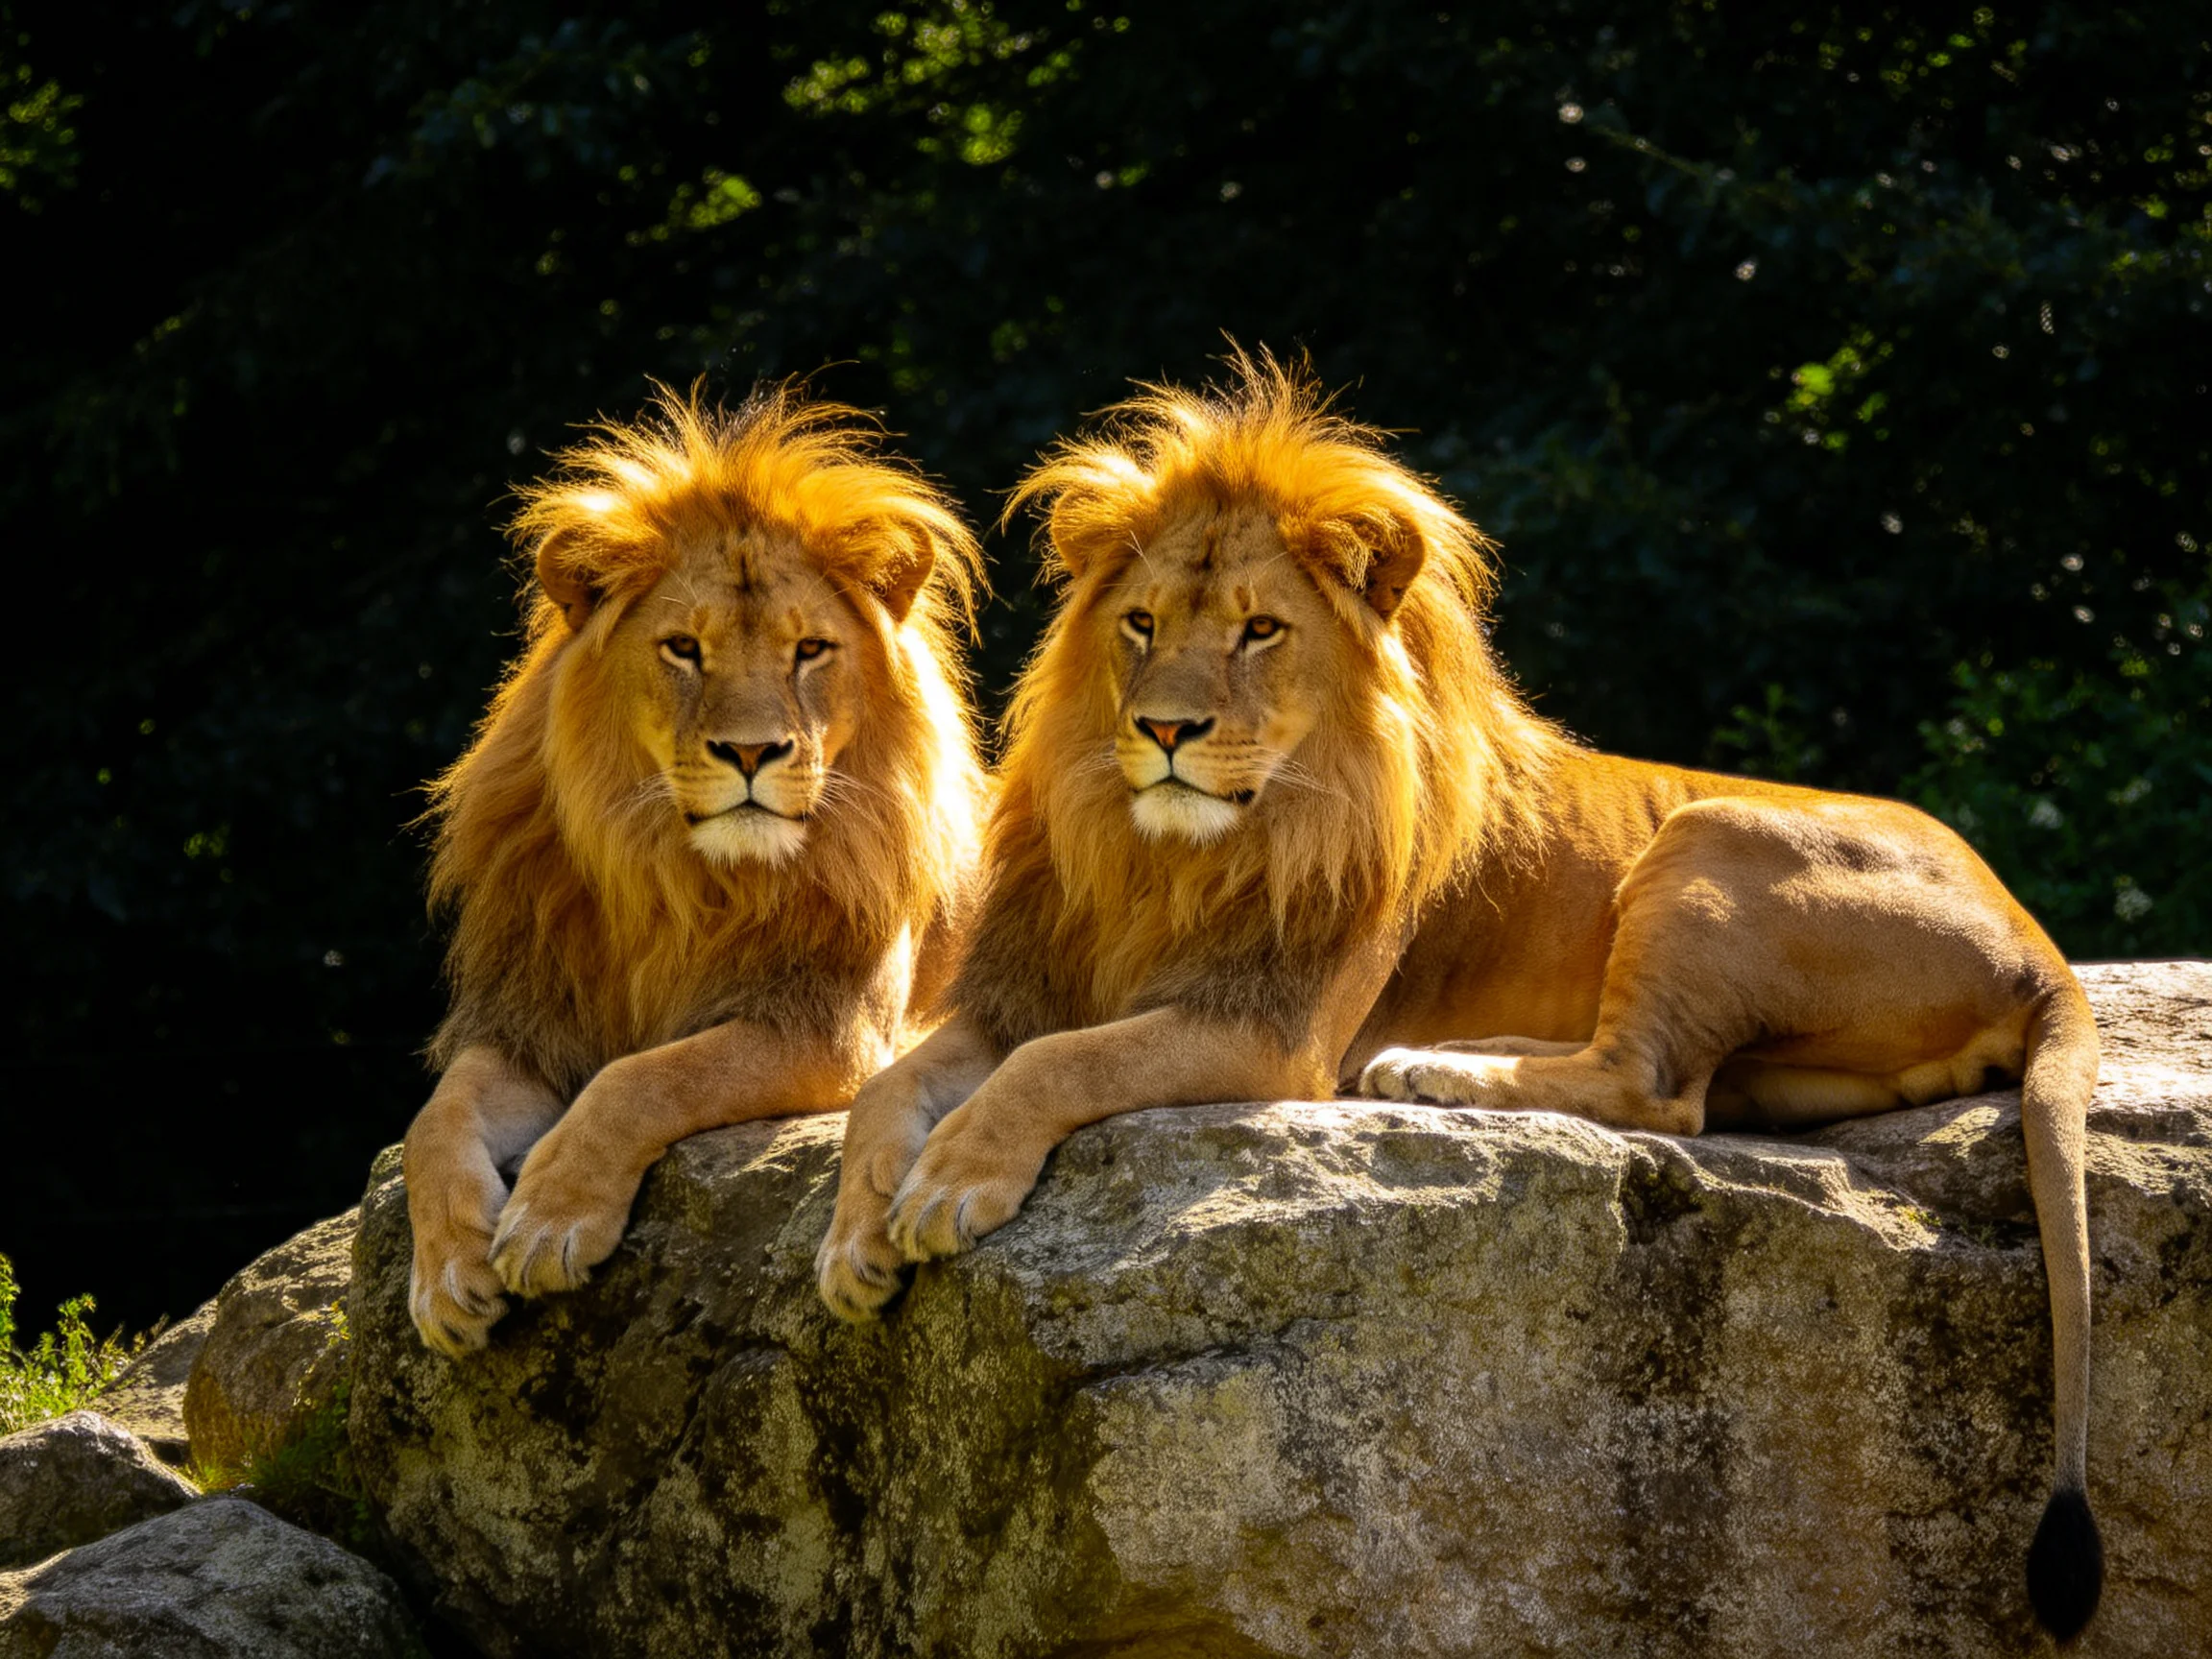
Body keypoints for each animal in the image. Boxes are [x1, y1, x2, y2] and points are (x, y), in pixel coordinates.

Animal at [403, 381, 988, 1358]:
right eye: (684, 648)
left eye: (809, 650)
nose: (751, 752)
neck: (681, 880)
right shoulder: (531, 1019)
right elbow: (433, 1122)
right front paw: (447, 1274)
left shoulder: (827, 1027)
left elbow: (649, 1076)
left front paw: (550, 1217)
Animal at [813, 350, 2104, 1640]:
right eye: (1140, 626)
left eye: (1260, 631)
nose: (1164, 729)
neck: (1167, 858)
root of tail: (2041, 947)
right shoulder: (1023, 995)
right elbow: (888, 1086)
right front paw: (854, 1240)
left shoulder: (1275, 1034)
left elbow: (1064, 1064)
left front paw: (951, 1186)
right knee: (1681, 1087)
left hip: (1707, 830)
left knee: (1654, 1090)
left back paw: (1428, 1069)